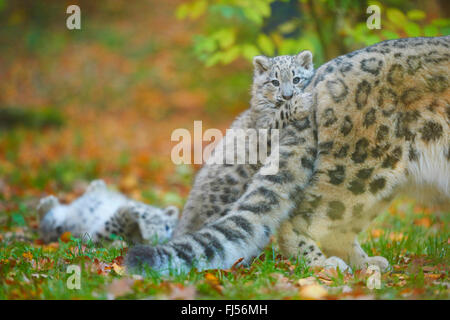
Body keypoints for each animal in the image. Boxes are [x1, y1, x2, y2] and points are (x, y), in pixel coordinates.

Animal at [38, 179, 179, 244]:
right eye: (167, 226)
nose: (163, 237)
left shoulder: (101, 234)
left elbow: (122, 215)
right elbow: (142, 209)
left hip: (58, 226)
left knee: (46, 224)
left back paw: (46, 204)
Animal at [126, 36, 450, 274]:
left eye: (295, 78)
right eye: (274, 81)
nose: (288, 94)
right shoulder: (267, 126)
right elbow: (279, 117)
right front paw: (299, 104)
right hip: (363, 167)